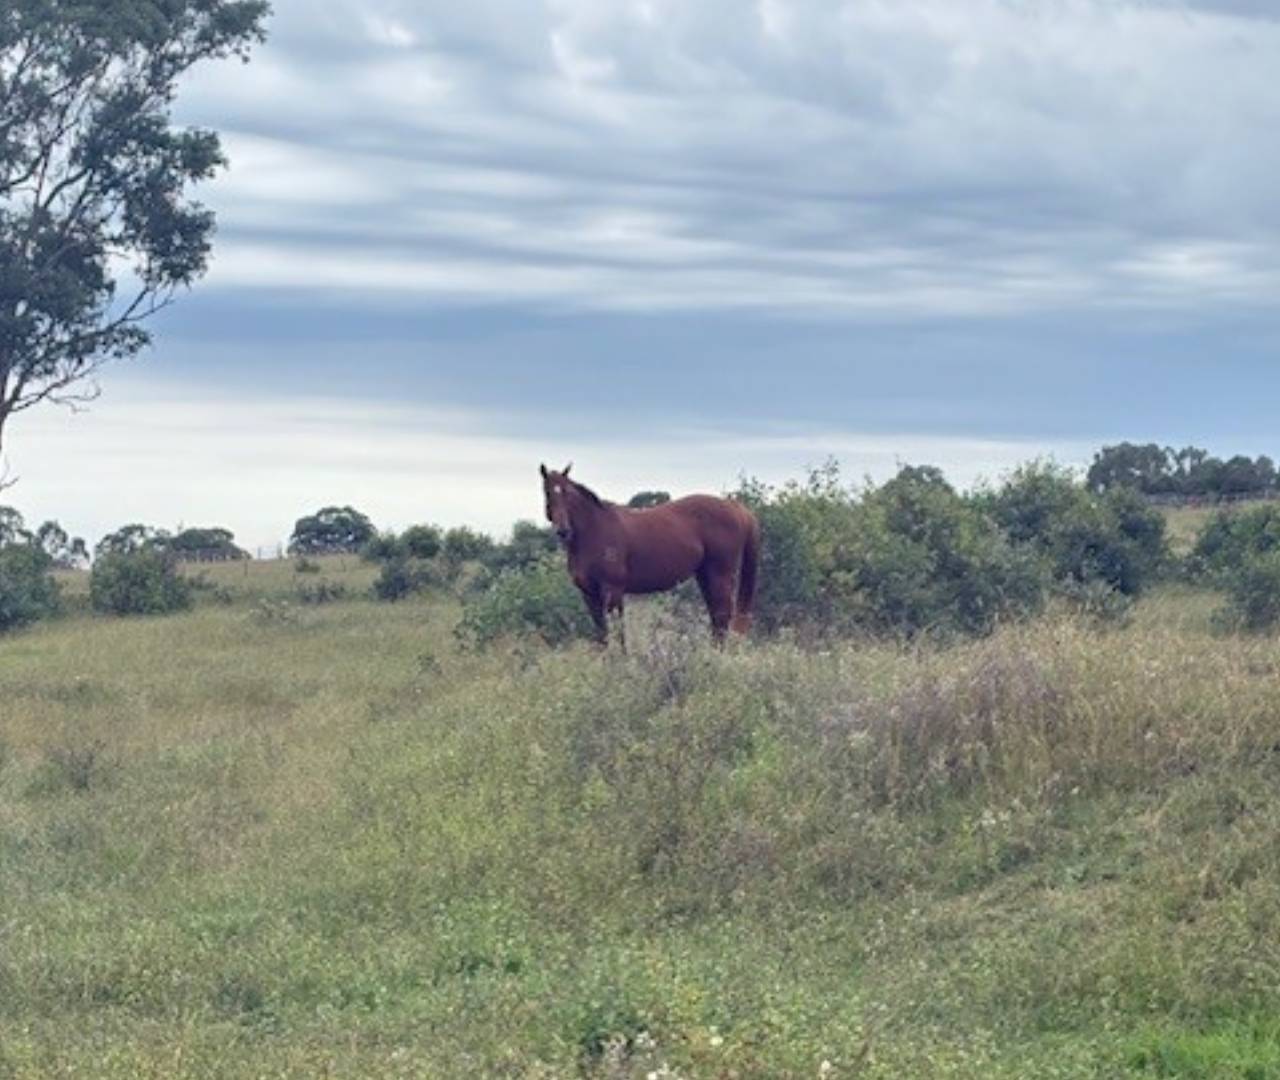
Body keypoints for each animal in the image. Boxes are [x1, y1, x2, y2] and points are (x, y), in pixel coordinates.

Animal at [540, 463, 761, 647]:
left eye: (567, 493)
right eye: (548, 492)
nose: (563, 530)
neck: (594, 531)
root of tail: (737, 508)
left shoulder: (613, 591)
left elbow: (619, 634)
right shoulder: (589, 594)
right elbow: (602, 634)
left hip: (720, 575)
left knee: (722, 617)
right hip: (705, 576)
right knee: (716, 618)